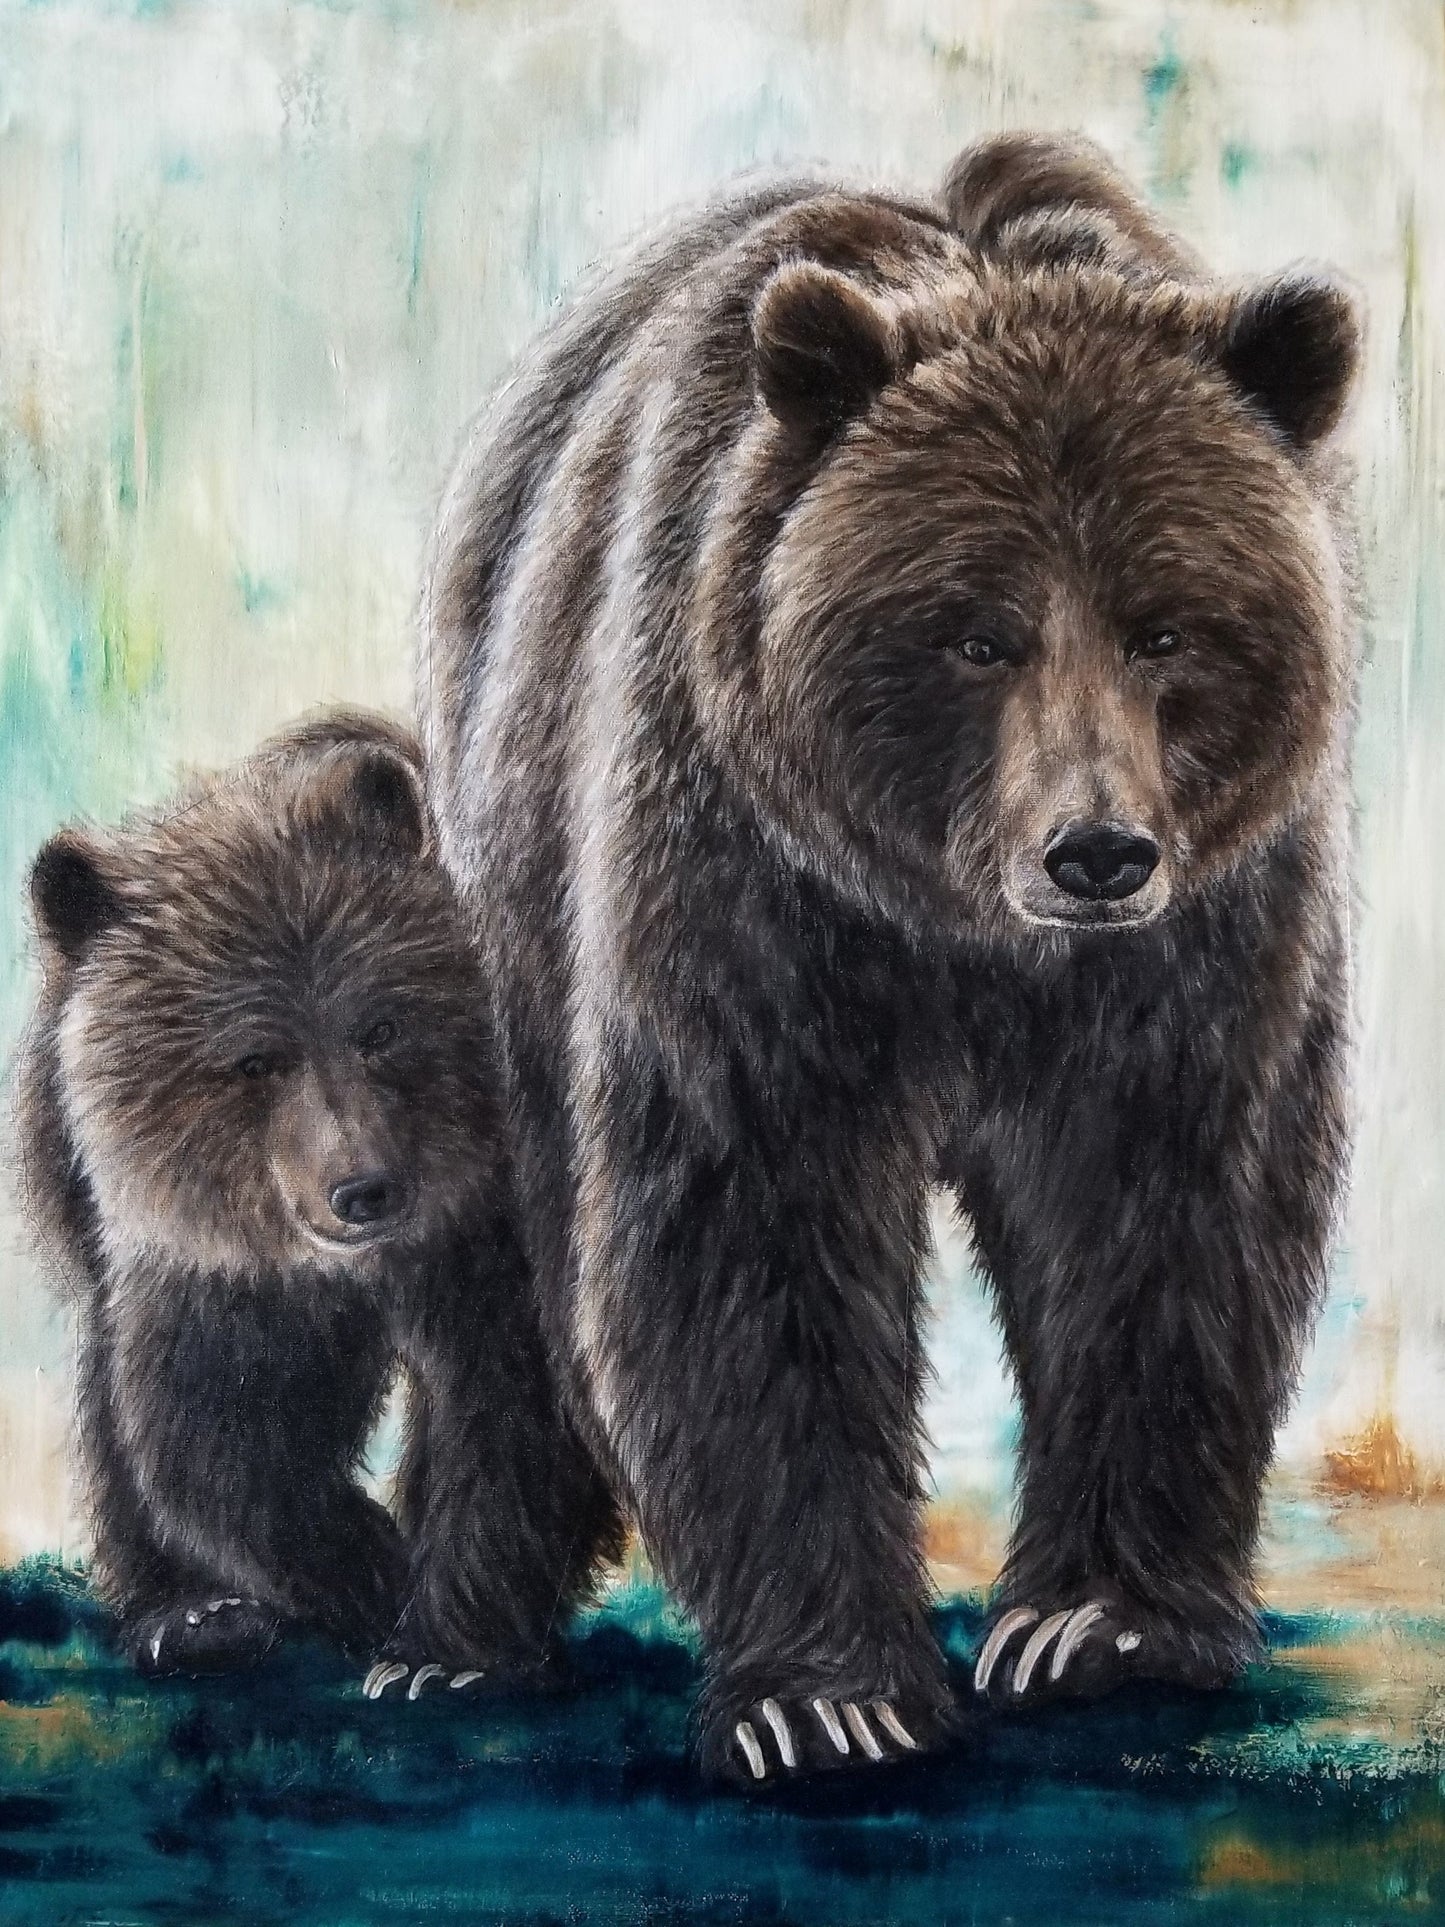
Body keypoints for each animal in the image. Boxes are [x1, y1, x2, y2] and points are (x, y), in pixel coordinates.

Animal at [17, 710, 613, 1684]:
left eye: (381, 1026)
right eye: (255, 1059)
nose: (363, 1188)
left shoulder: (490, 1223)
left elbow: (512, 1403)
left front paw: (441, 1651)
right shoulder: (207, 1260)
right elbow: (216, 1431)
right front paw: (361, 1572)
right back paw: (188, 1614)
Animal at [416, 132, 1360, 1783]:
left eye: (1166, 628)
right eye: (976, 632)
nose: (1095, 850)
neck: (962, 931)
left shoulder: (1207, 937)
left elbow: (1169, 1207)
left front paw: (1095, 1622)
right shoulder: (745, 876)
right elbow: (747, 1215)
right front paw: (827, 1692)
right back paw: (453, 1643)